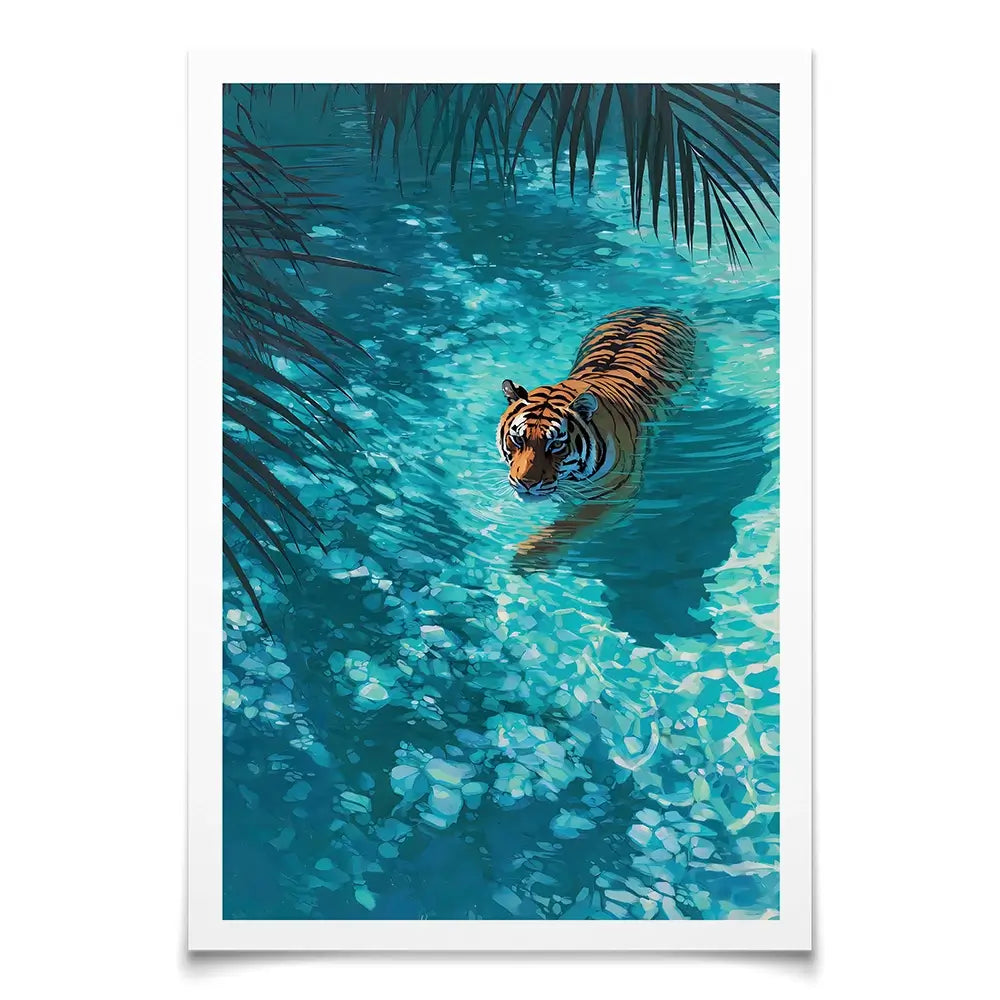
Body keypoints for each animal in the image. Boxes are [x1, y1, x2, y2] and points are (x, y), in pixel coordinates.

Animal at [496, 306, 696, 557]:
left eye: (556, 444)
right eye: (517, 439)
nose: (527, 484)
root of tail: (654, 307)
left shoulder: (614, 497)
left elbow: (564, 528)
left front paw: (527, 555)